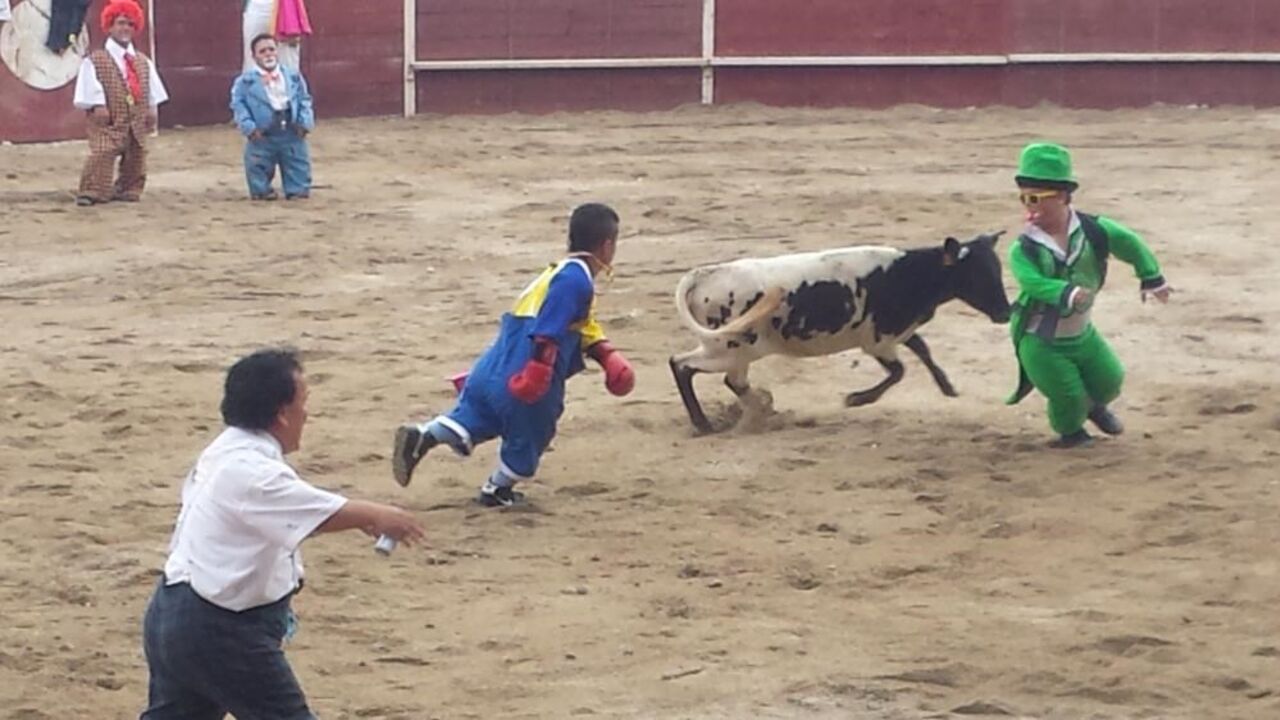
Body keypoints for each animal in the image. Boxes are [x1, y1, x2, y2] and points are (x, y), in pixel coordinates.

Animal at [670, 233, 1008, 430]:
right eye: (976, 275)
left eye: (996, 269)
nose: (1006, 312)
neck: (905, 273)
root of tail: (705, 274)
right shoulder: (877, 341)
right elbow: (898, 371)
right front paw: (856, 399)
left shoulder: (898, 332)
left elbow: (923, 350)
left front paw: (947, 386)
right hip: (728, 349)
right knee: (683, 365)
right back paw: (705, 424)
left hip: (733, 350)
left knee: (729, 379)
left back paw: (760, 409)